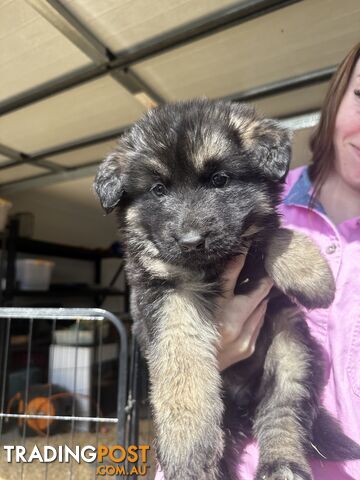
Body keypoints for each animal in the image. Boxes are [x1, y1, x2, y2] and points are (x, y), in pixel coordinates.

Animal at [93, 99, 360, 478]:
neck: (214, 266)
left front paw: (312, 275)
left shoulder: (251, 239)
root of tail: (244, 407)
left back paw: (283, 463)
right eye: (158, 189)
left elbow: (271, 232)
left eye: (220, 180)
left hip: (290, 348)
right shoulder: (168, 295)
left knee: (283, 414)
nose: (191, 242)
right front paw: (186, 444)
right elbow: (183, 363)